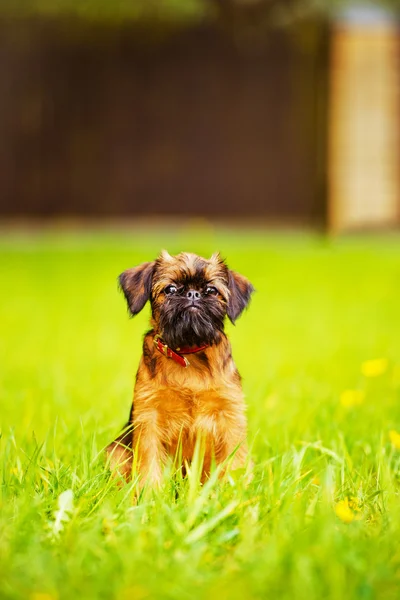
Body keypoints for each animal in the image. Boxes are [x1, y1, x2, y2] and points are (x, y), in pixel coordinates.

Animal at [106, 250, 253, 488]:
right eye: (171, 289)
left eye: (211, 290)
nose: (193, 294)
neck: (188, 352)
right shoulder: (149, 418)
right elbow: (150, 461)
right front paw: (150, 492)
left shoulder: (230, 416)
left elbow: (235, 461)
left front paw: (236, 490)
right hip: (116, 450)